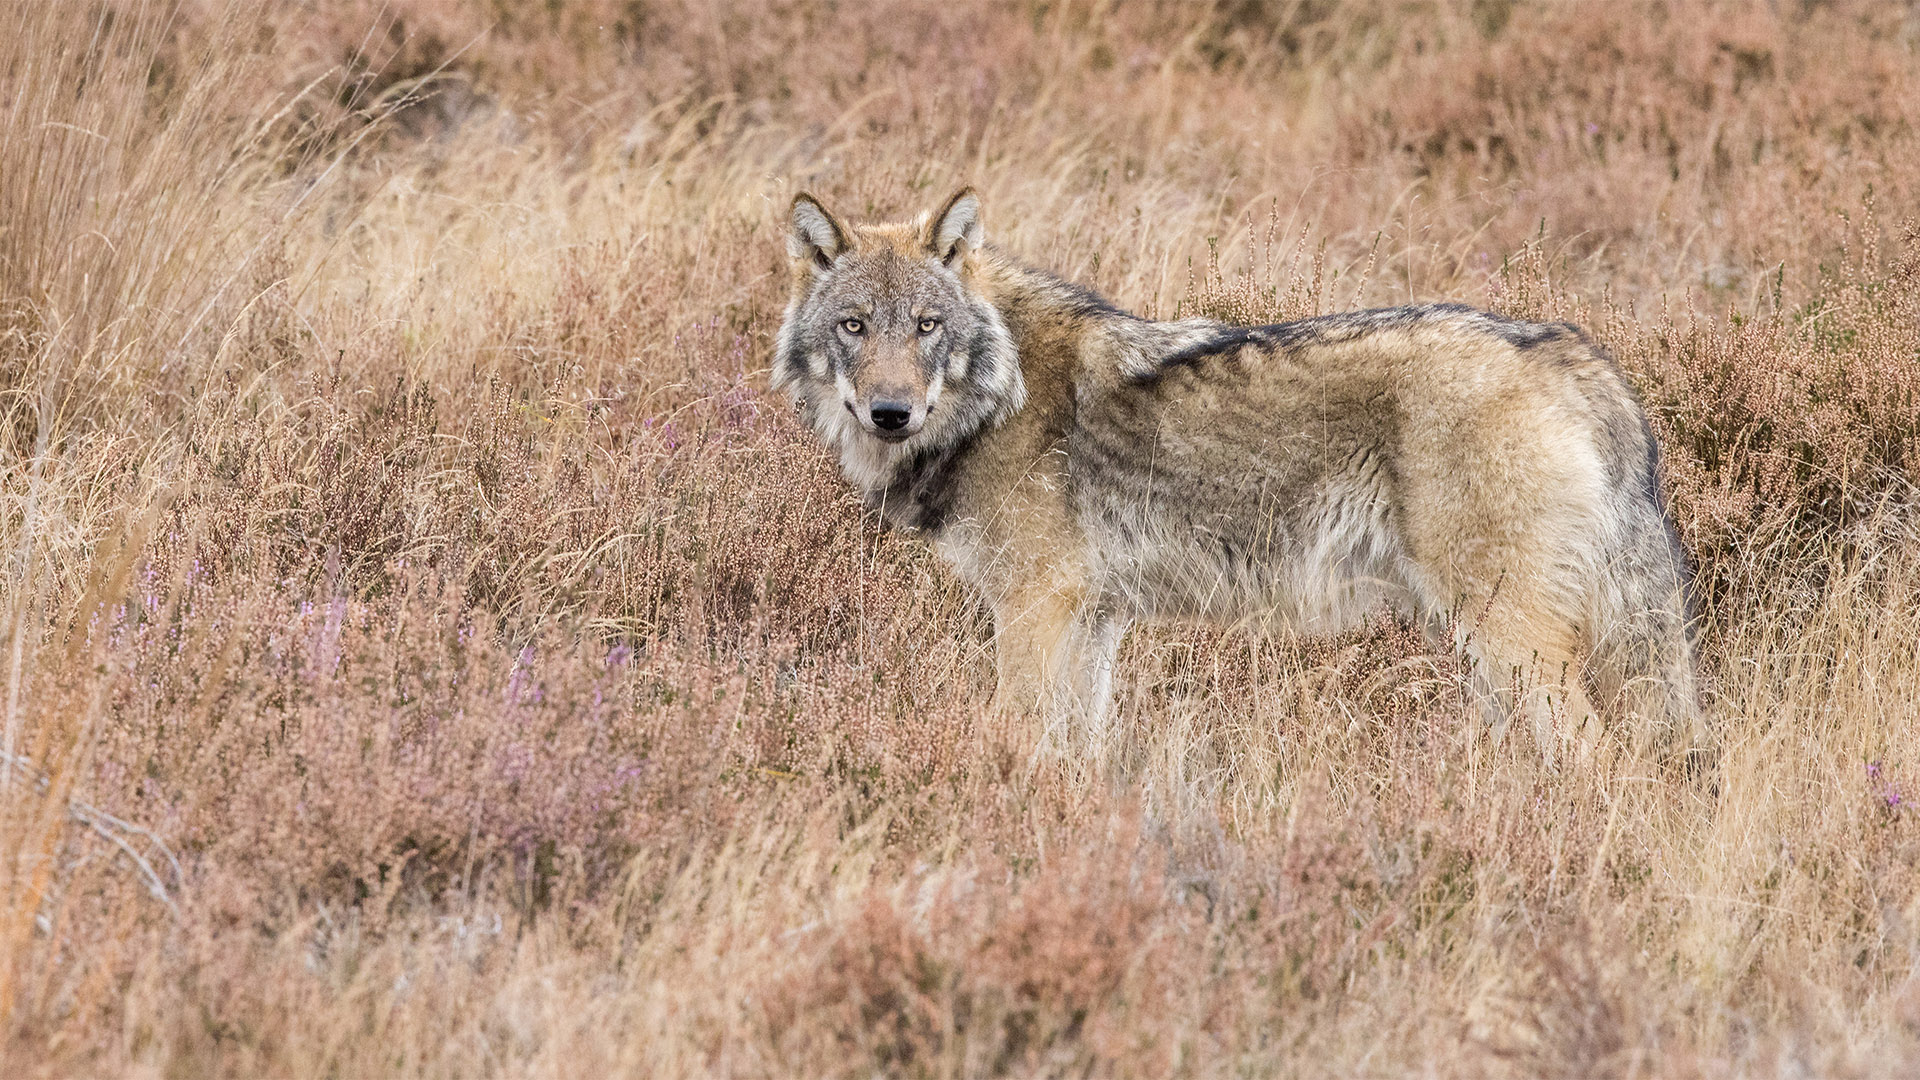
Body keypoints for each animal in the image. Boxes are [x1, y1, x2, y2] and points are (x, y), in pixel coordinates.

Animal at [771, 187, 1704, 757]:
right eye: (855, 325)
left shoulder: (1035, 608)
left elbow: (1017, 734)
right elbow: (1079, 749)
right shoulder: (1095, 620)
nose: (891, 412)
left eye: (926, 325)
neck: (1000, 396)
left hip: (1509, 639)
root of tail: (1571, 351)